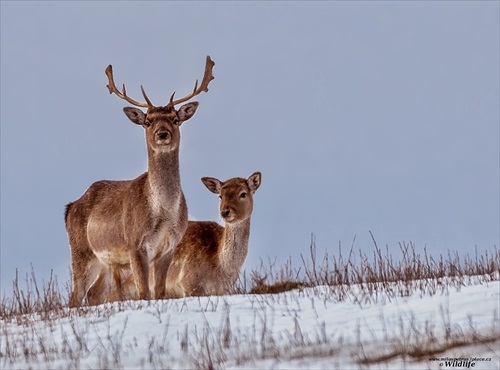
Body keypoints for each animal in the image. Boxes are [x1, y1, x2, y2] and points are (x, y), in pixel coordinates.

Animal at [64, 56, 215, 308]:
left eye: (176, 119)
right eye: (147, 121)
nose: (162, 134)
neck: (163, 213)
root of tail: (69, 208)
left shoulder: (169, 247)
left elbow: (159, 291)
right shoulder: (136, 244)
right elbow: (144, 292)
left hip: (106, 263)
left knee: (94, 293)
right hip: (82, 251)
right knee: (75, 296)